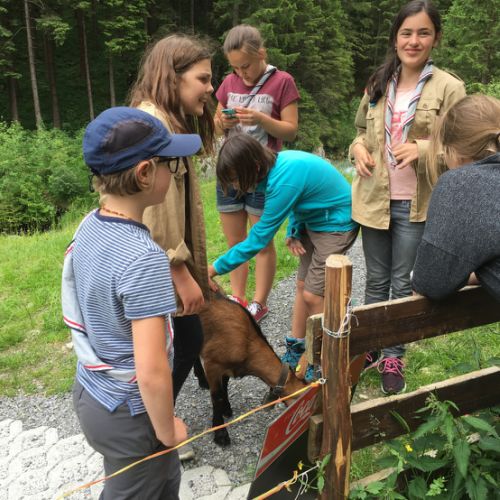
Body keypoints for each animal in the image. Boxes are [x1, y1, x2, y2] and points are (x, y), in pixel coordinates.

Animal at [194, 294, 307, 446]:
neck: (247, 343)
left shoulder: (226, 367)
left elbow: (225, 385)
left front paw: (227, 408)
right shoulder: (213, 364)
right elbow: (217, 396)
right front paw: (220, 434)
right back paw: (202, 380)